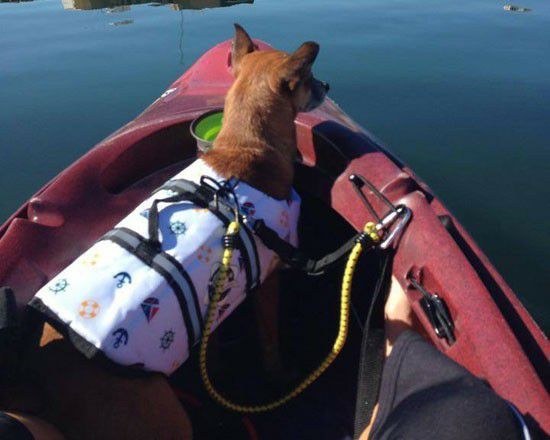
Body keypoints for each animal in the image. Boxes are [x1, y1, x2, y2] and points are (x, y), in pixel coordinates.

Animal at [0, 24, 327, 439]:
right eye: (310, 77)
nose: (327, 85)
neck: (244, 147)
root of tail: (38, 379)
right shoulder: (267, 285)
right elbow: (270, 342)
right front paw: (281, 375)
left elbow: (210, 343)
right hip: (162, 412)